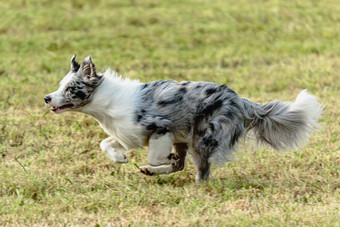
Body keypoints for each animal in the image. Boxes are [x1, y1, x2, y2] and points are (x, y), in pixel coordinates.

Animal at [43, 54, 322, 182]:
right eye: (59, 86)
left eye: (70, 88)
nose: (47, 98)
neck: (105, 102)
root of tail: (240, 100)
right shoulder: (128, 133)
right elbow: (105, 144)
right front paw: (120, 158)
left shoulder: (160, 129)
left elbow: (155, 155)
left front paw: (162, 159)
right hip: (186, 137)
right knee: (182, 166)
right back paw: (152, 172)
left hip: (202, 136)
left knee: (202, 169)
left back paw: (197, 185)